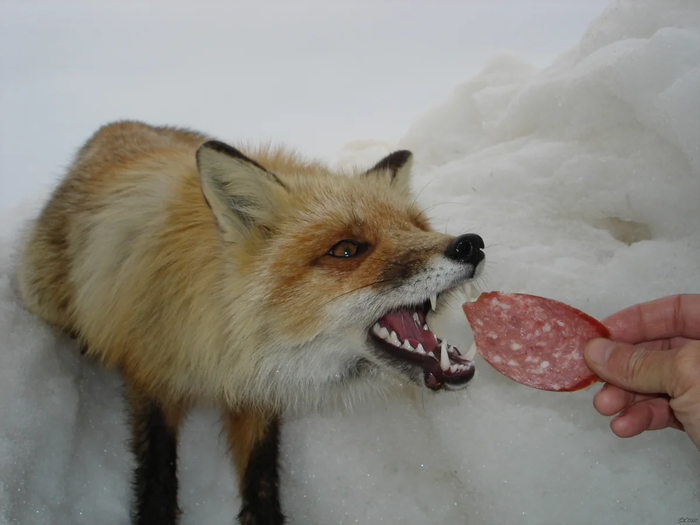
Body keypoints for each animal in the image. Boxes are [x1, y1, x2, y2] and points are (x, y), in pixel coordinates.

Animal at [17, 119, 486, 524]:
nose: (472, 244)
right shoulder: (150, 371)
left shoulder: (257, 389)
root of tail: (117, 126)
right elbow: (157, 478)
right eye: (346, 249)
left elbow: (261, 479)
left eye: (417, 226)